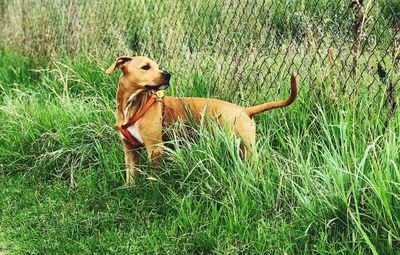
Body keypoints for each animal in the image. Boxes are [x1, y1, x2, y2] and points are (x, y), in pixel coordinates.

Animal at [106, 56, 296, 186]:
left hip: (248, 150)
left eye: (158, 66)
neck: (132, 106)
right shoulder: (129, 150)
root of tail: (244, 110)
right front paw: (131, 191)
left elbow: (155, 176)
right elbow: (130, 176)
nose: (167, 75)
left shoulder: (155, 149)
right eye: (145, 67)